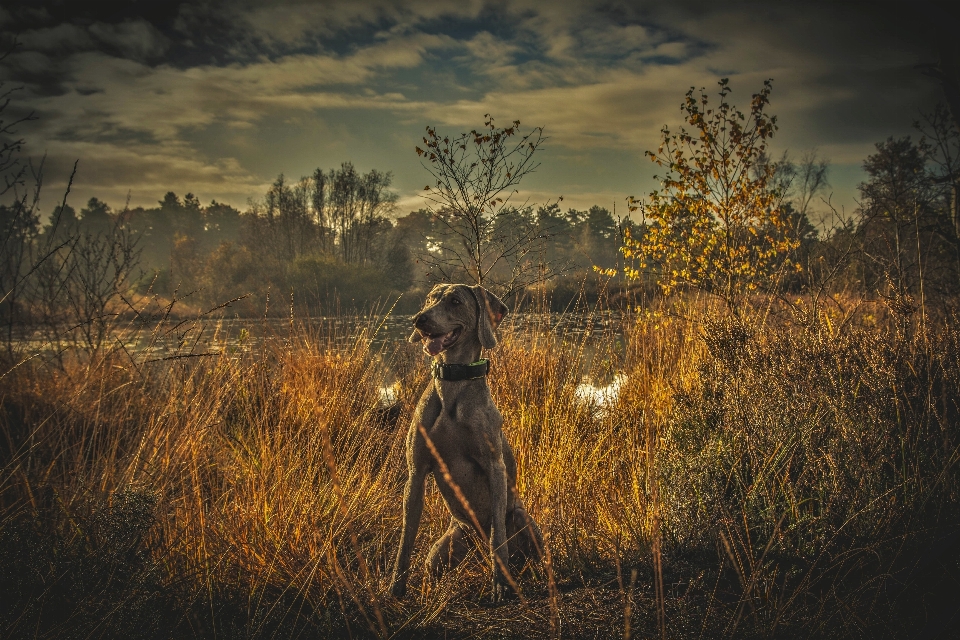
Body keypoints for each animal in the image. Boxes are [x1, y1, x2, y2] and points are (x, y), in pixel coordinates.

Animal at [388, 284, 540, 600]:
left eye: (455, 301)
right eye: (430, 299)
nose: (419, 319)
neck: (452, 383)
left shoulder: (495, 468)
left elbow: (497, 537)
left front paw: (500, 584)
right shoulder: (415, 473)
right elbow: (406, 538)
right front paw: (395, 587)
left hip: (524, 519)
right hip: (444, 548)